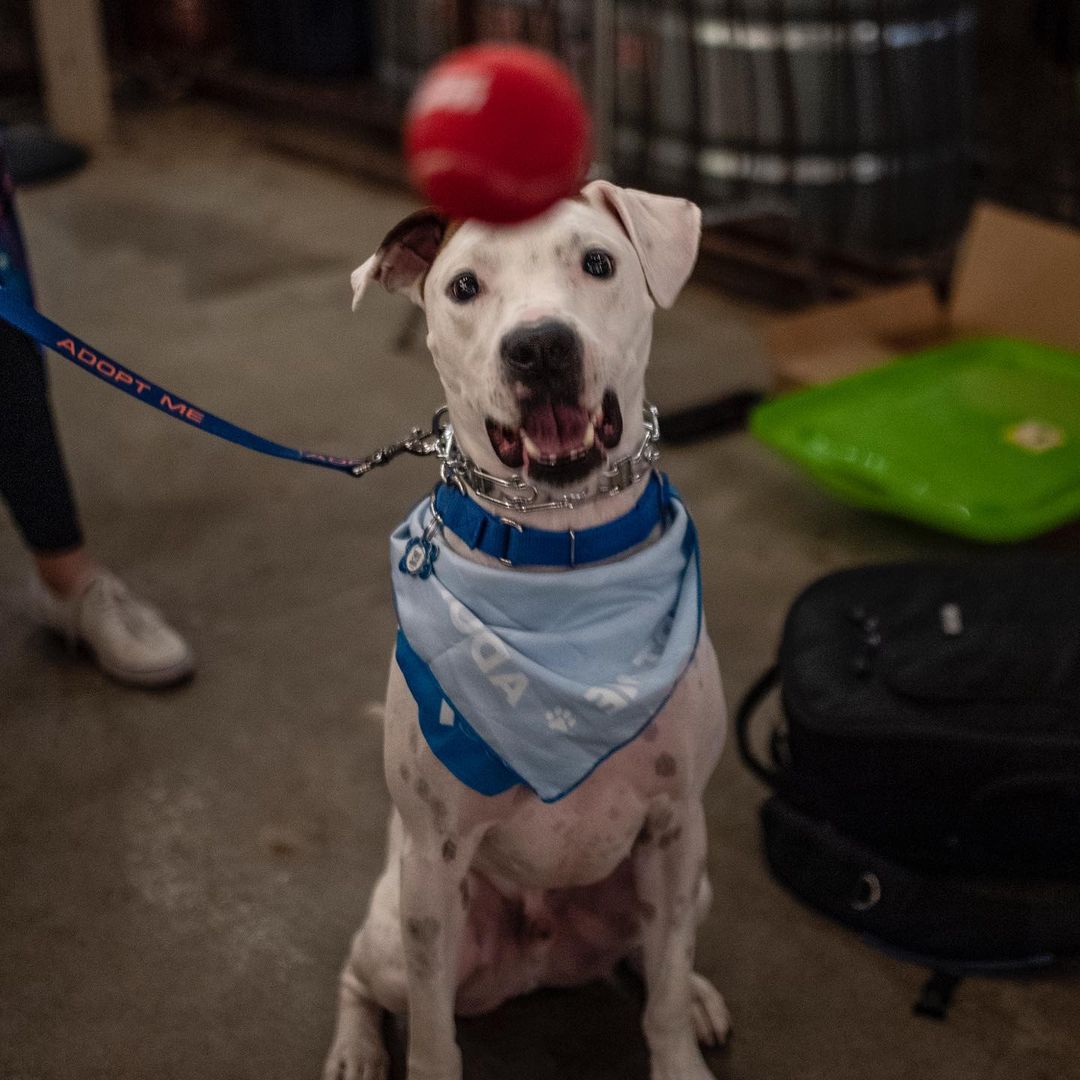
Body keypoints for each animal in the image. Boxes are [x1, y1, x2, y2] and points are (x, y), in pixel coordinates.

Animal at [326, 181, 734, 1075]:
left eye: (599, 264)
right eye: (463, 287)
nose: (540, 347)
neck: (561, 547)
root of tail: (544, 960)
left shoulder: (677, 824)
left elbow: (664, 989)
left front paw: (680, 1040)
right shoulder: (433, 865)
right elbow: (433, 1042)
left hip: (687, 879)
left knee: (652, 958)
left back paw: (695, 993)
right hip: (400, 926)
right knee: (361, 975)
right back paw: (355, 1048)